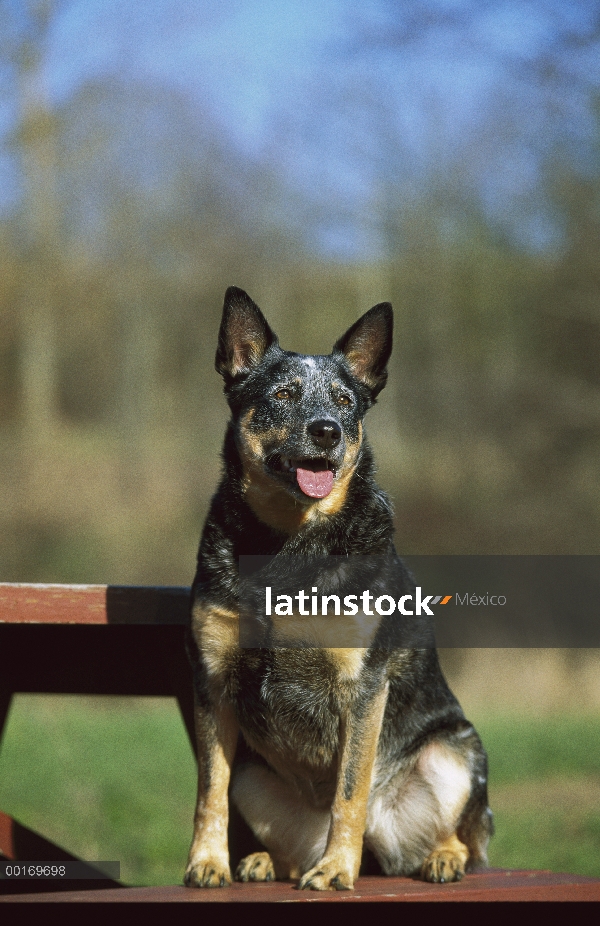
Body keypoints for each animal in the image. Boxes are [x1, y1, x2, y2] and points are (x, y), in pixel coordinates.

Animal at [184, 288, 492, 892]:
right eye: (283, 393)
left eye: (345, 400)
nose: (327, 429)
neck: (287, 545)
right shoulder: (212, 683)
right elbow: (209, 791)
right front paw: (207, 862)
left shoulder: (362, 688)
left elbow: (350, 791)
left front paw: (334, 870)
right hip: (253, 773)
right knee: (279, 836)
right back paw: (264, 860)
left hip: (456, 752)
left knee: (461, 836)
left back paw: (439, 858)